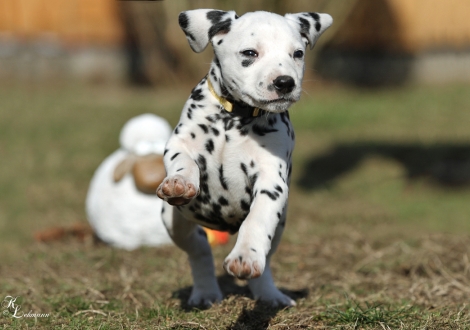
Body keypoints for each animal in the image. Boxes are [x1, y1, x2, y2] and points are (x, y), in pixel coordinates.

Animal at [156, 9, 332, 306]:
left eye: (297, 53)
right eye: (250, 53)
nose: (285, 82)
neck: (234, 118)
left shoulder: (271, 180)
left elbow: (257, 221)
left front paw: (245, 256)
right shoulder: (180, 143)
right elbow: (183, 160)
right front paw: (180, 182)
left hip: (280, 226)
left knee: (265, 260)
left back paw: (270, 294)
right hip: (174, 221)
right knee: (199, 249)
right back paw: (205, 292)